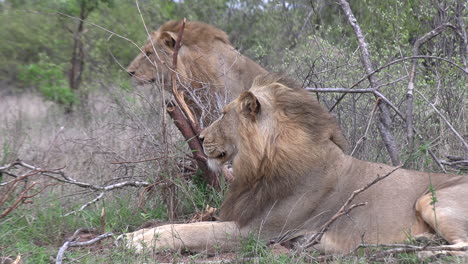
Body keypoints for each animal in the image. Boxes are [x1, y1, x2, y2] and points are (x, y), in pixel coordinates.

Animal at [125, 73, 468, 255]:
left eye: (223, 115)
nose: (200, 135)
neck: (261, 168)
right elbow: (187, 224)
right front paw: (136, 235)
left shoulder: (257, 232)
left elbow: (190, 231)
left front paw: (138, 241)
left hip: (429, 200)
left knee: (461, 247)